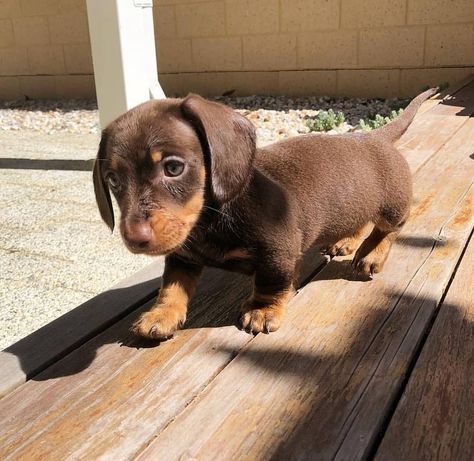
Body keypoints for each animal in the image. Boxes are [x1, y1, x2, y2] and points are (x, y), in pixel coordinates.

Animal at [92, 88, 436, 338]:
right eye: (113, 180)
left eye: (173, 168)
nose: (134, 239)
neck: (210, 219)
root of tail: (375, 136)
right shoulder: (182, 256)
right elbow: (172, 287)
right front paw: (162, 314)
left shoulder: (278, 252)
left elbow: (271, 284)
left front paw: (263, 311)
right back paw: (346, 242)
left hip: (392, 204)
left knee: (389, 229)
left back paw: (371, 254)